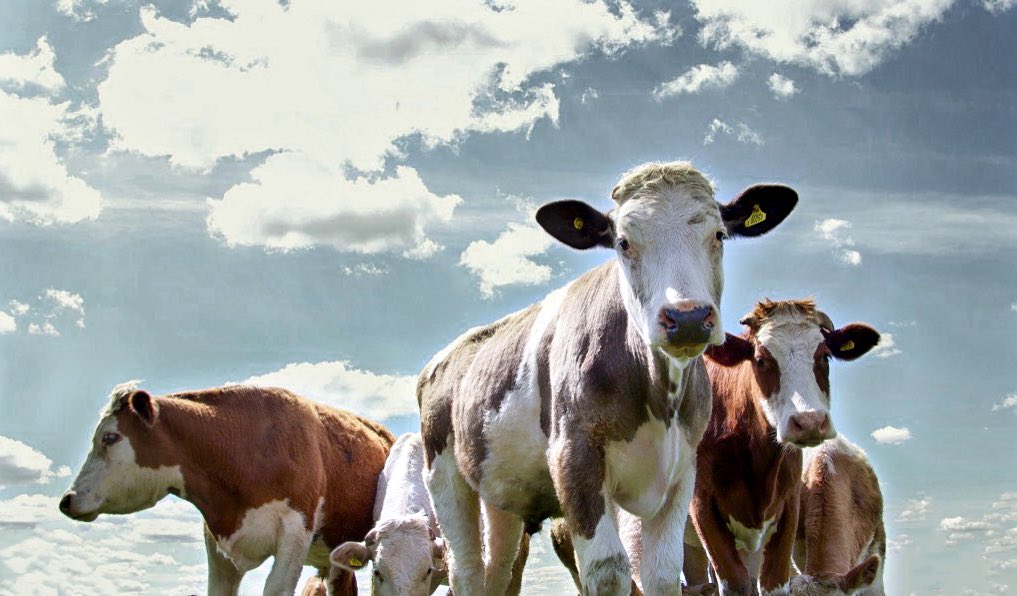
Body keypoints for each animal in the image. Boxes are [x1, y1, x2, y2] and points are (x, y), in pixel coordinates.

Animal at [417, 161, 798, 595]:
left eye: (718, 235)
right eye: (623, 242)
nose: (686, 317)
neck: (657, 394)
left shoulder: (683, 468)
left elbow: (663, 572)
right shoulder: (575, 458)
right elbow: (608, 569)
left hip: (501, 492)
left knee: (497, 569)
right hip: (443, 474)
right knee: (465, 569)